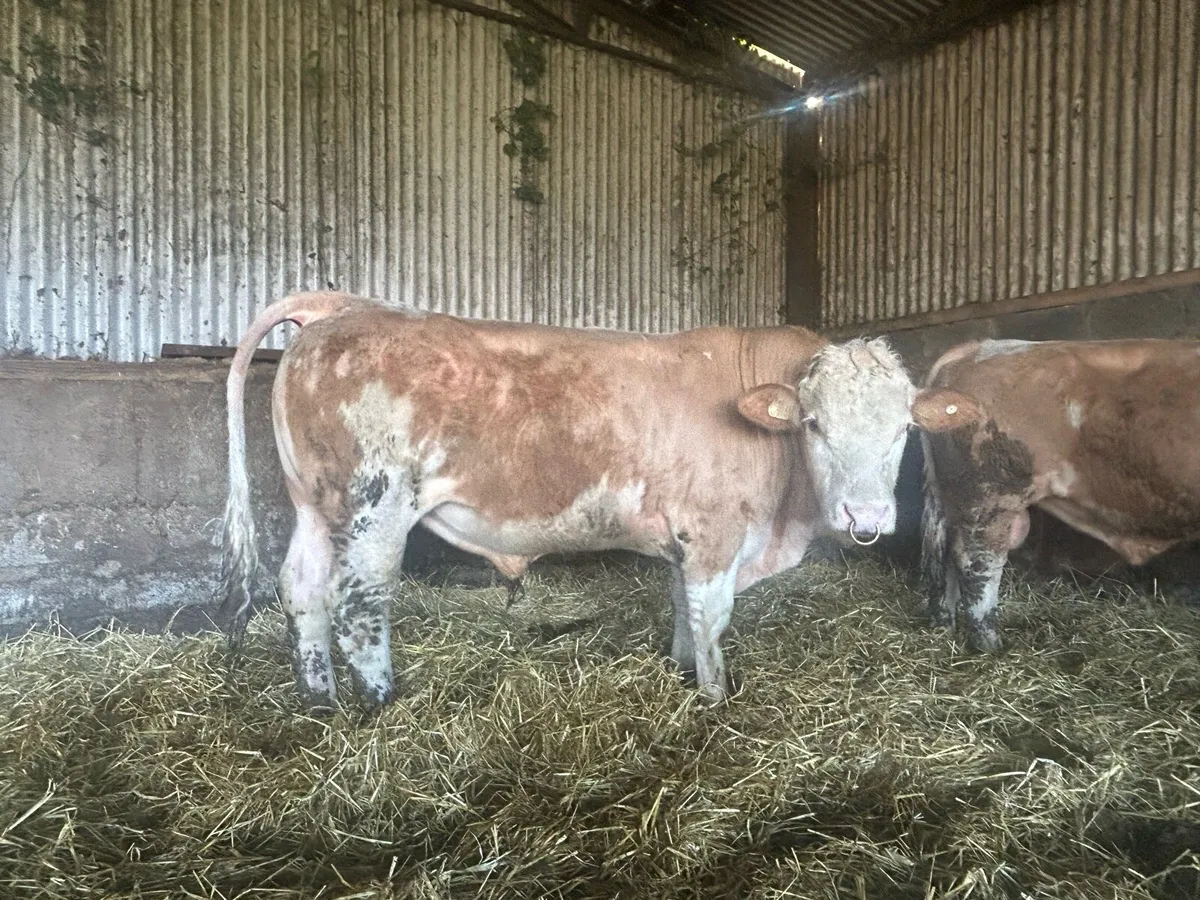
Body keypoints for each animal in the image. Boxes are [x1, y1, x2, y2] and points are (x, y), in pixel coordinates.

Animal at [219, 291, 916, 710]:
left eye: (906, 427)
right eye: (814, 425)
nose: (867, 517)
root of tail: (342, 305)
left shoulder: (682, 541)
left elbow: (682, 611)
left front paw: (679, 674)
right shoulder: (714, 536)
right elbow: (711, 622)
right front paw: (713, 702)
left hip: (316, 504)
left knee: (302, 589)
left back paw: (319, 701)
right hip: (375, 506)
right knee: (357, 602)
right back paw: (382, 704)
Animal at [915, 337, 1200, 652]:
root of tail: (975, 348)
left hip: (954, 501)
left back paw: (944, 627)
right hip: (989, 499)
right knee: (977, 566)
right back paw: (991, 646)